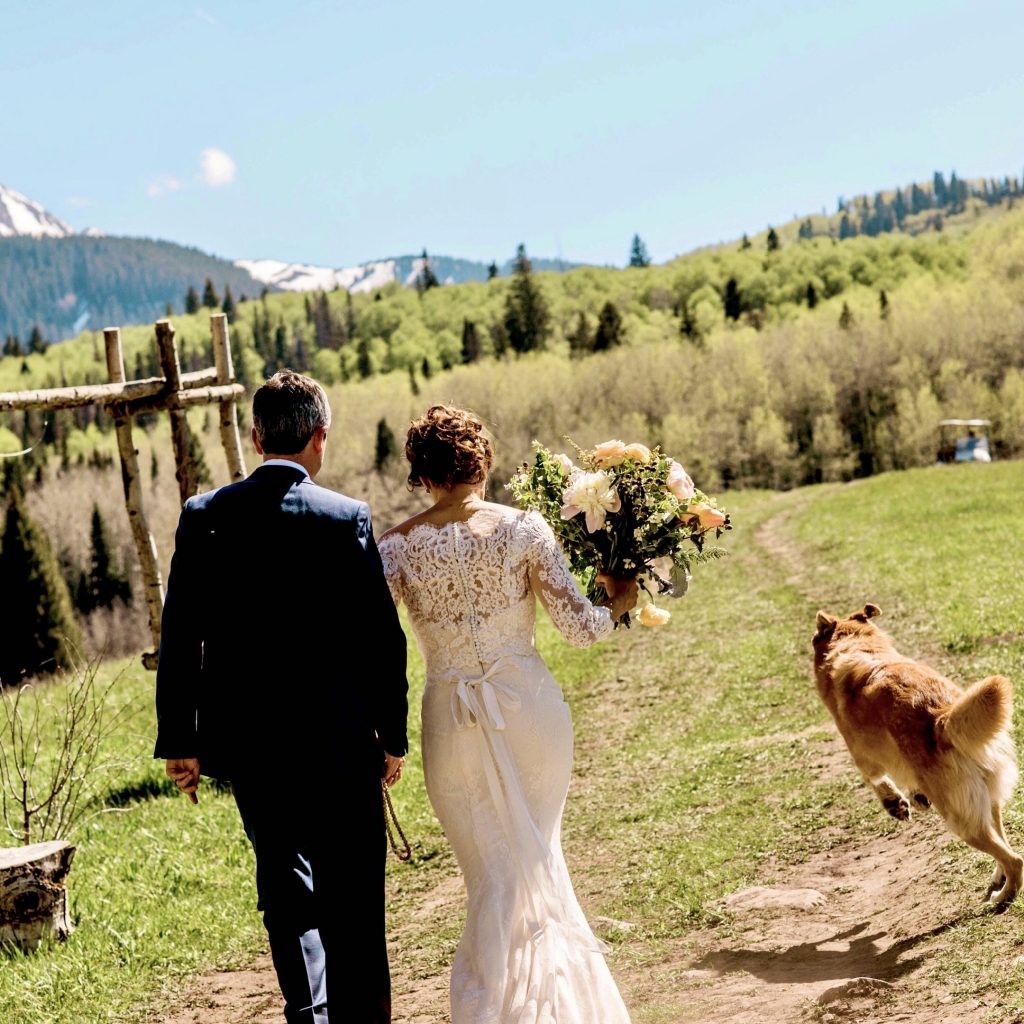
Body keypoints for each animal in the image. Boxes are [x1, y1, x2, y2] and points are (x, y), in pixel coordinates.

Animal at [811, 602, 1019, 901]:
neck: (856, 643)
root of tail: (942, 718)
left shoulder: (862, 755)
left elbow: (875, 779)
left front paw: (894, 802)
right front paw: (915, 796)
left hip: (960, 818)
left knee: (1015, 860)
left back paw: (1004, 896)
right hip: (987, 798)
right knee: (1004, 842)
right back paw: (999, 878)